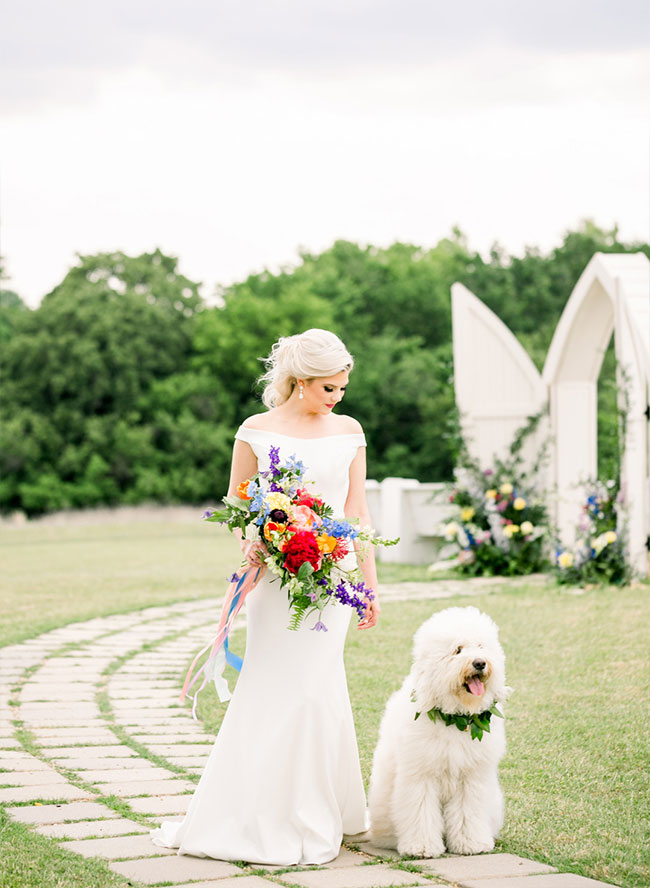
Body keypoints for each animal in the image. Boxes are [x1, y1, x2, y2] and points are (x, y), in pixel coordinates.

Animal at [368, 608, 508, 856]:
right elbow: (421, 811)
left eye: (481, 646)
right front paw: (422, 847)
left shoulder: (471, 777)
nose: (480, 663)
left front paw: (471, 843)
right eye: (458, 650)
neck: (455, 718)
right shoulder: (420, 775)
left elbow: (468, 811)